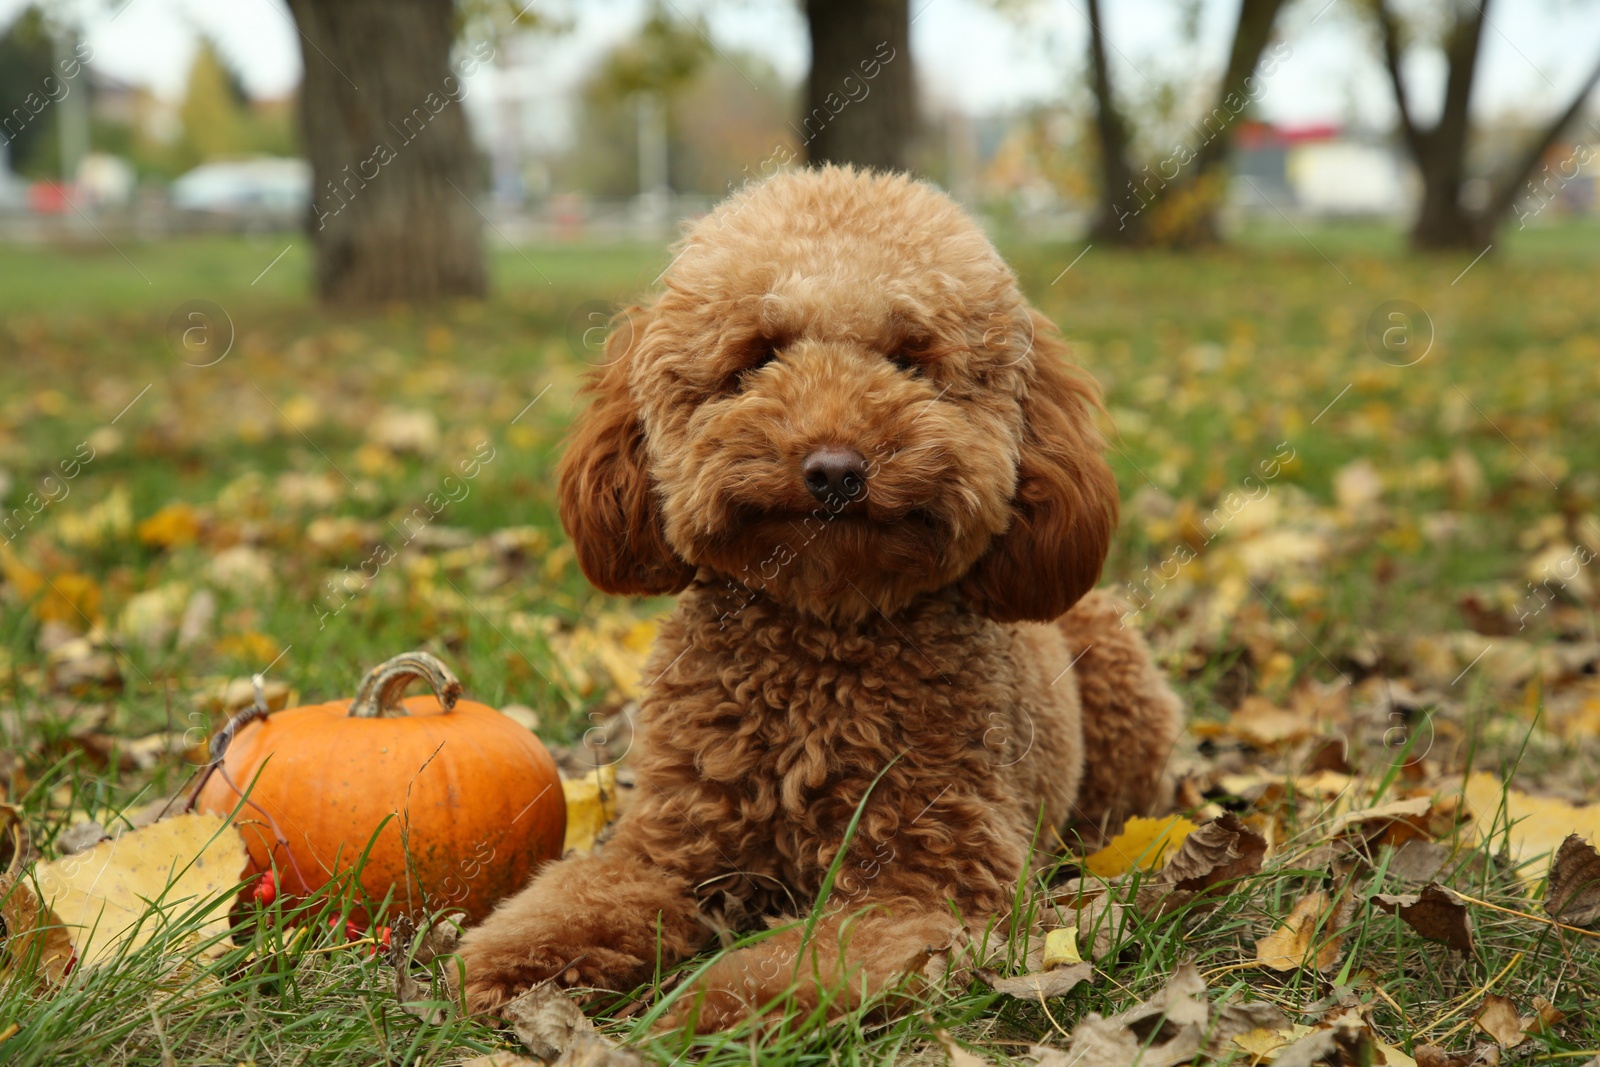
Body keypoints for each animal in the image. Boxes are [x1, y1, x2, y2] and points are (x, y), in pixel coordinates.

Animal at [457, 168, 1184, 1036]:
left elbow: (789, 962)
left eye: (911, 359)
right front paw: (511, 964)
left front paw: (700, 1013)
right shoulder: (669, 847)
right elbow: (579, 898)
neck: (822, 634)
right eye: (758, 354)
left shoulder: (931, 880)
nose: (835, 469)